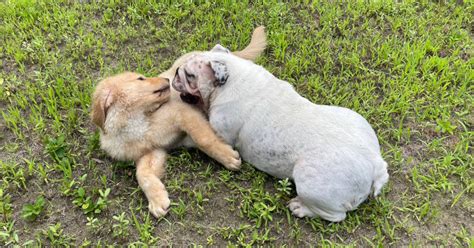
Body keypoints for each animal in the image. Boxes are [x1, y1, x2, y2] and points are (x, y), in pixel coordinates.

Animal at [91, 26, 266, 217]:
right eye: (141, 79)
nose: (167, 80)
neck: (137, 123)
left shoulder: (184, 114)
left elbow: (204, 139)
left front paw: (227, 157)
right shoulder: (153, 151)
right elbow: (142, 174)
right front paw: (157, 199)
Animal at [172, 47, 386, 223]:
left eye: (190, 75)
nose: (176, 72)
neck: (231, 78)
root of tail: (375, 163)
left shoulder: (221, 133)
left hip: (311, 184)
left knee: (336, 215)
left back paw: (300, 208)